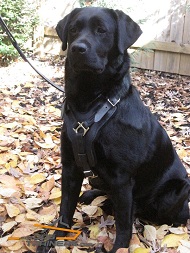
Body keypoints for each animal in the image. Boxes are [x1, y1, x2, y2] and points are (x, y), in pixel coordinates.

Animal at [39, 6, 189, 252]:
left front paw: (119, 247)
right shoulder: (70, 167)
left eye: (102, 30)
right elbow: (65, 209)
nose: (77, 48)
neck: (90, 103)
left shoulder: (121, 179)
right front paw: (56, 239)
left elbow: (123, 224)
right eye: (73, 30)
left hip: (176, 191)